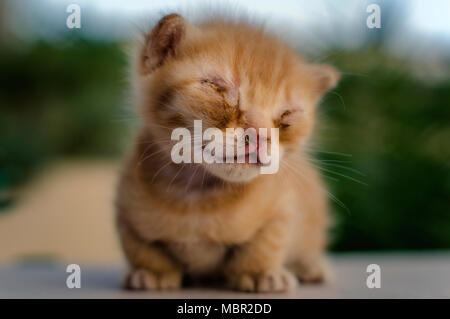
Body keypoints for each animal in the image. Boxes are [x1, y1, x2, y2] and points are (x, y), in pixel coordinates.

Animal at [114, 13, 340, 292]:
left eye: (288, 115)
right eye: (217, 87)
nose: (260, 134)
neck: (197, 199)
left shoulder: (285, 204)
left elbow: (268, 241)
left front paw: (259, 272)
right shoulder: (125, 208)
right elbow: (140, 246)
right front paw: (152, 271)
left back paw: (310, 266)